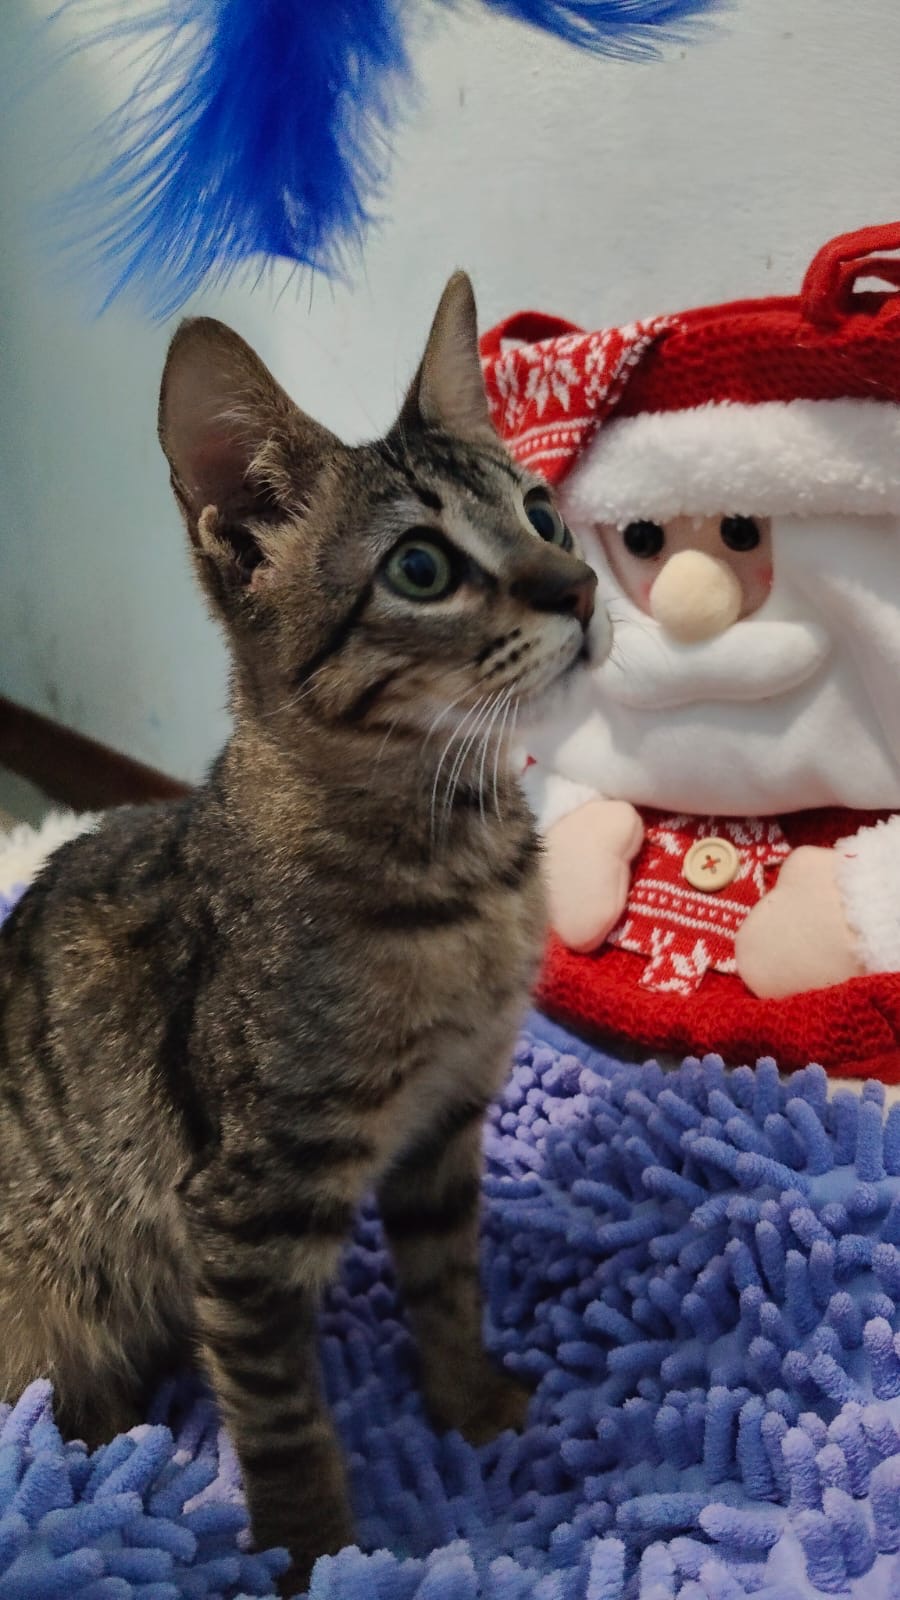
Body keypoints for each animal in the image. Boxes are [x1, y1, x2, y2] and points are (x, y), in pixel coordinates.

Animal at [0, 273, 598, 1595]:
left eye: (545, 514)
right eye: (421, 565)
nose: (582, 588)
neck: (456, 865)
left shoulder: (445, 1127)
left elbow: (448, 1282)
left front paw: (472, 1403)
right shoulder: (244, 1205)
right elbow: (282, 1417)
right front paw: (318, 1551)